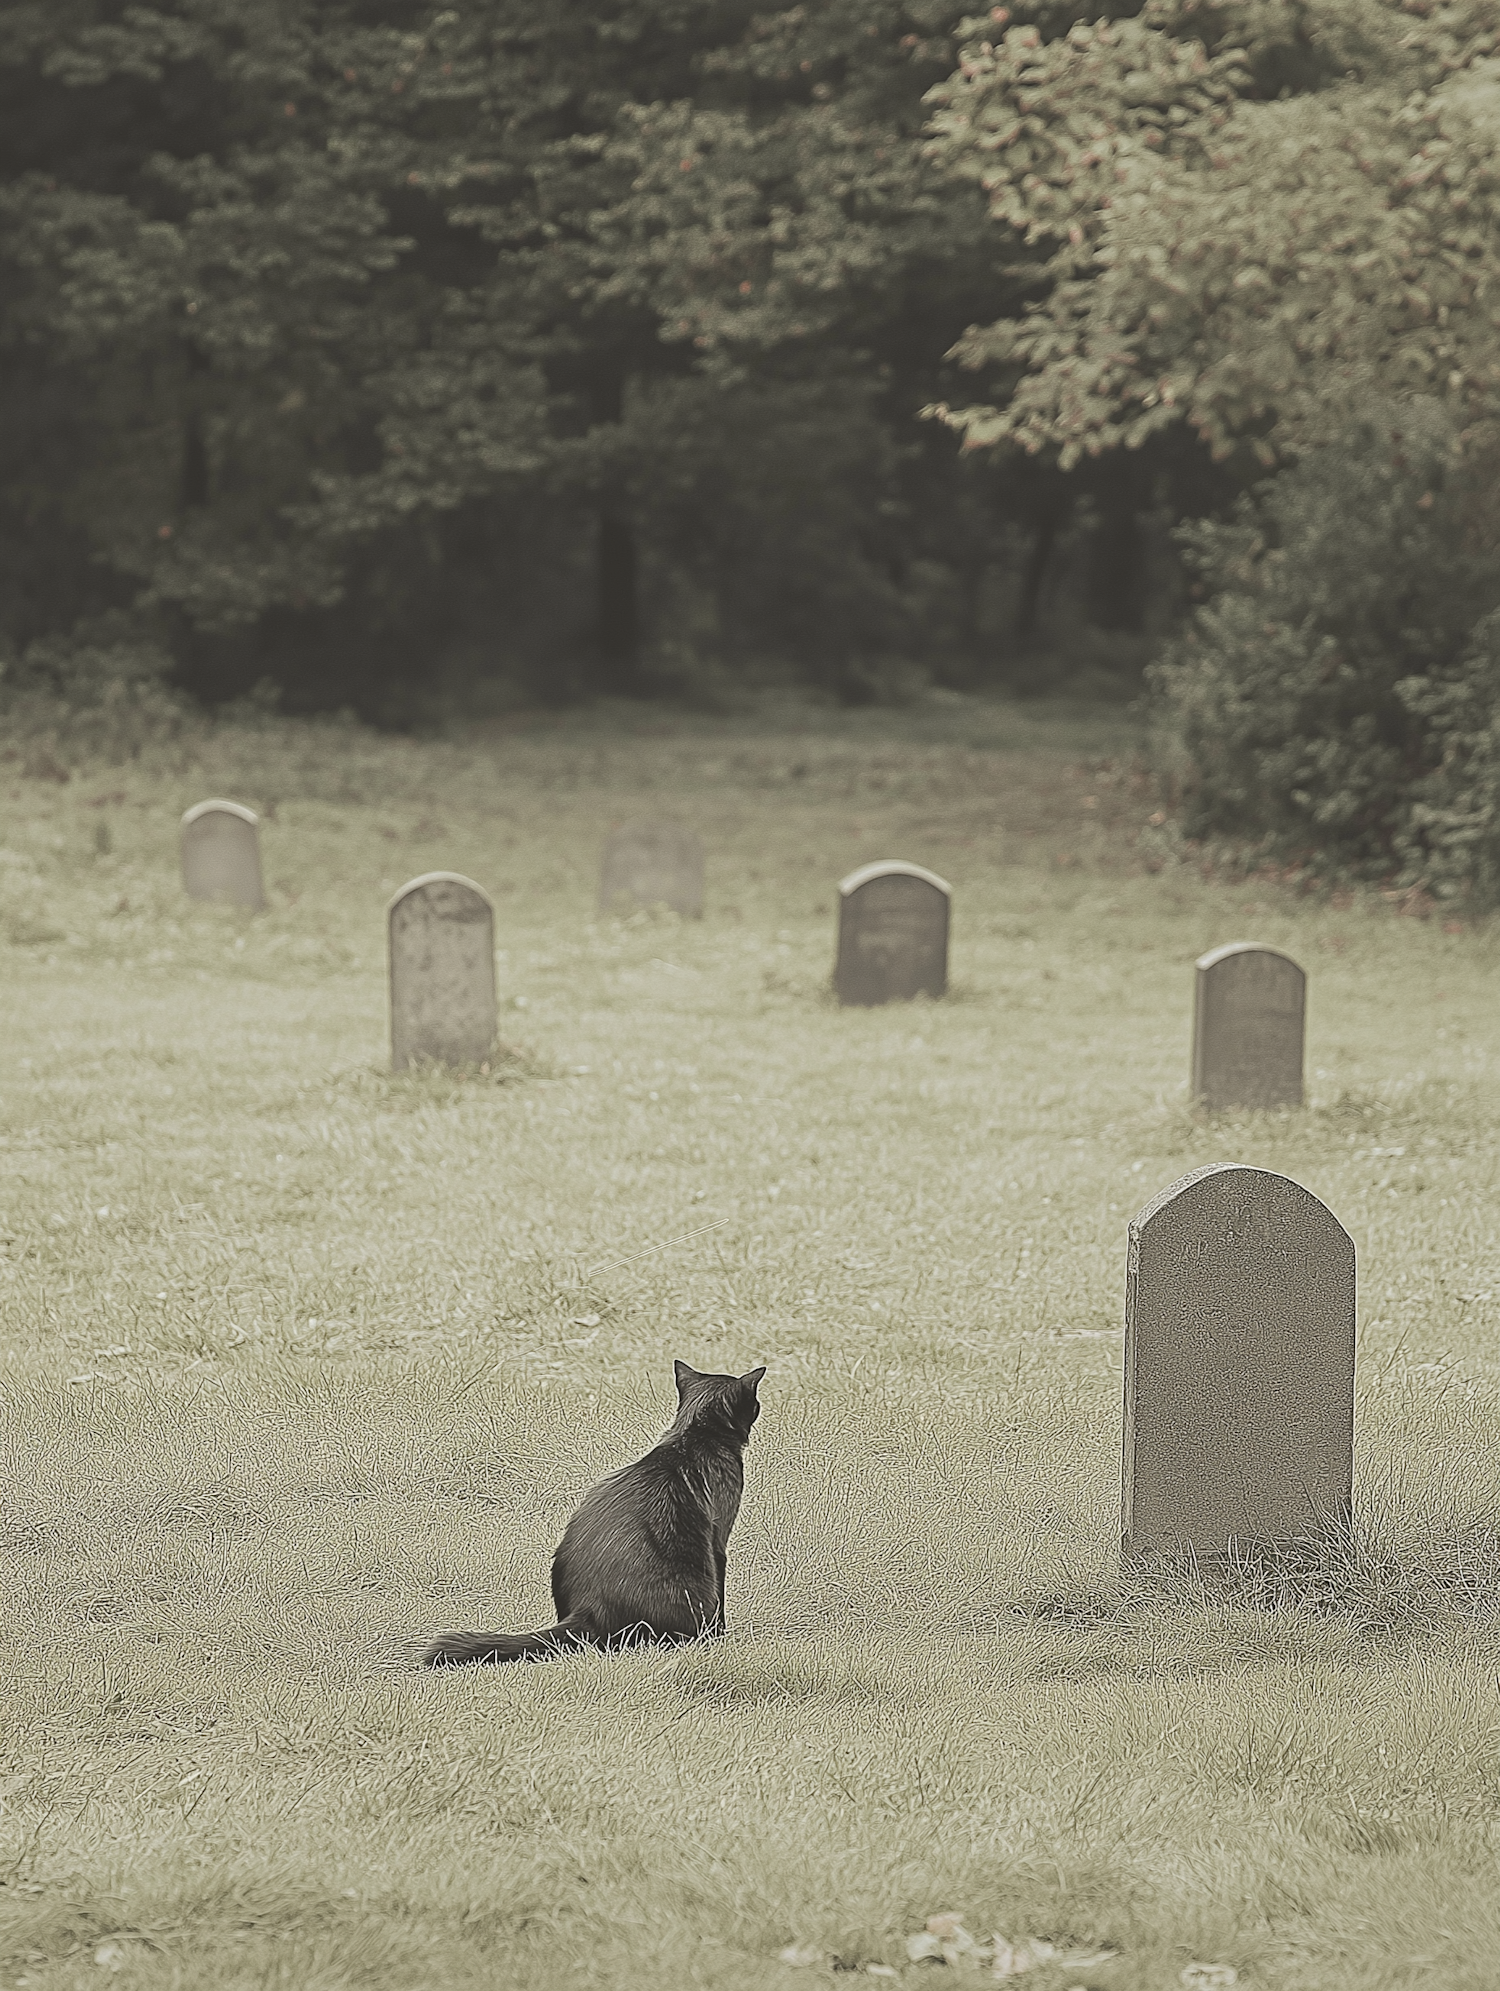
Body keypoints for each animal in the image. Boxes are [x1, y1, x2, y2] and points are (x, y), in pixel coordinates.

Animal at [424, 1353, 764, 1664]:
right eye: (755, 1402)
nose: (760, 1407)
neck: (692, 1435)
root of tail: (587, 1609)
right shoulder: (718, 1540)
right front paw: (722, 1636)